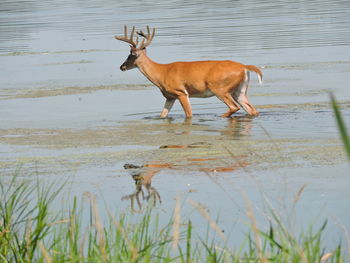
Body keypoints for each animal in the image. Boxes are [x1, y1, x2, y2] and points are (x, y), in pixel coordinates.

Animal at [115, 25, 262, 118]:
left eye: (130, 55)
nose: (122, 67)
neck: (161, 72)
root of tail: (244, 67)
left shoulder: (180, 92)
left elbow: (189, 115)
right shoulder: (170, 96)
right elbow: (162, 115)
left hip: (220, 88)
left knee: (234, 107)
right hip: (240, 90)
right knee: (252, 110)